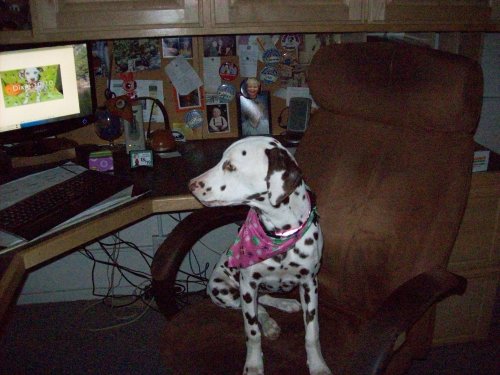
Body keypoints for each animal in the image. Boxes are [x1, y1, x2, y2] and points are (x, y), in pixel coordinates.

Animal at [189, 137, 330, 375]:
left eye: (230, 166)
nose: (191, 184)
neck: (279, 235)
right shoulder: (248, 284)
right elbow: (252, 331)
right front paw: (254, 365)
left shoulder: (310, 283)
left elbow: (312, 332)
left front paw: (318, 365)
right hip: (221, 290)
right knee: (258, 306)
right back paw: (270, 323)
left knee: (264, 299)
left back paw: (286, 304)